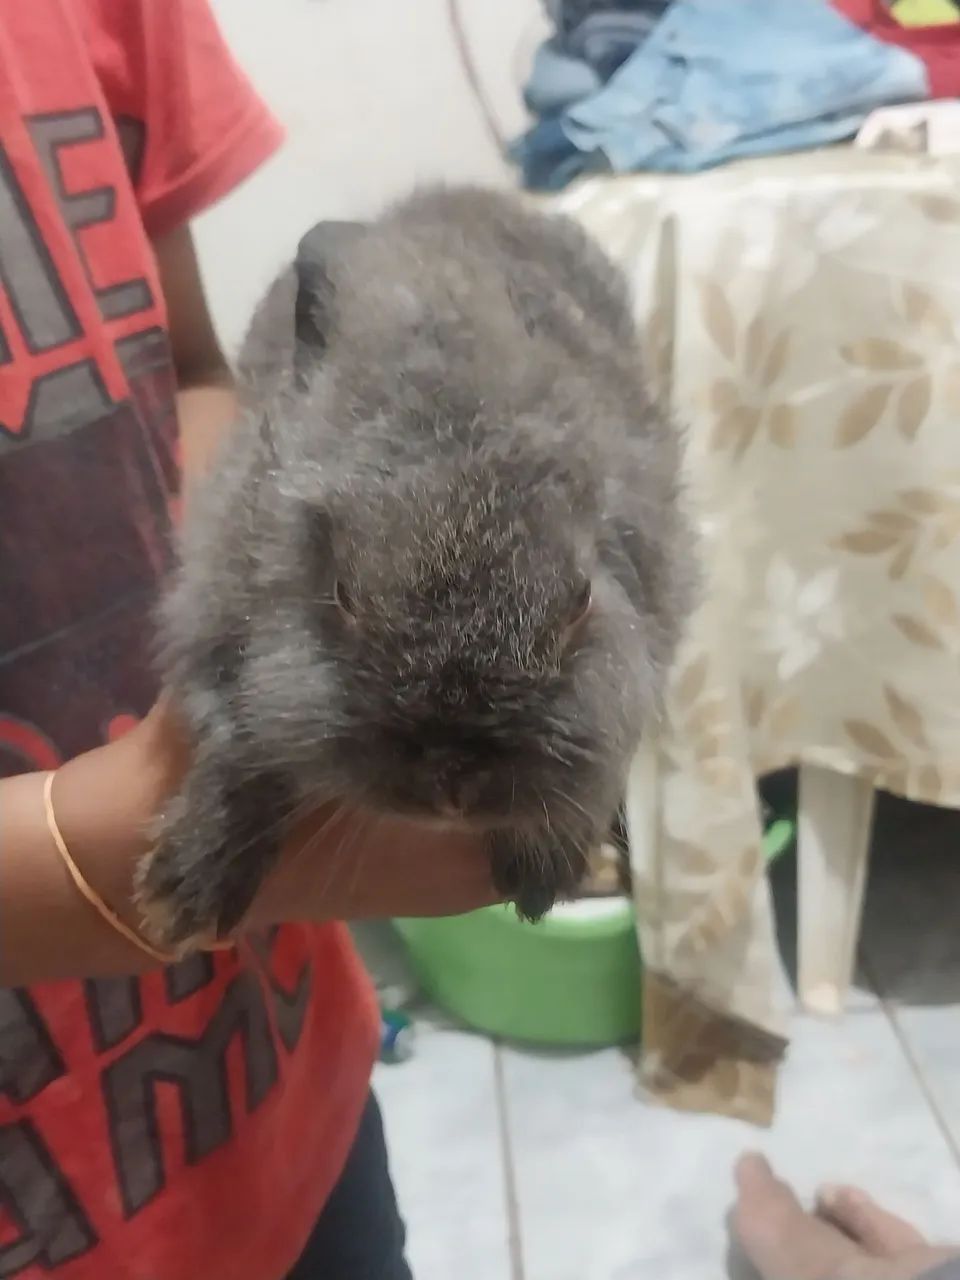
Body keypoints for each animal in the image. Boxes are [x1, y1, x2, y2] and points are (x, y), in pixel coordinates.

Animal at [136, 185, 696, 951]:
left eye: (580, 600)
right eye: (342, 594)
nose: (453, 780)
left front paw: (542, 872)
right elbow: (240, 755)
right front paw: (181, 895)